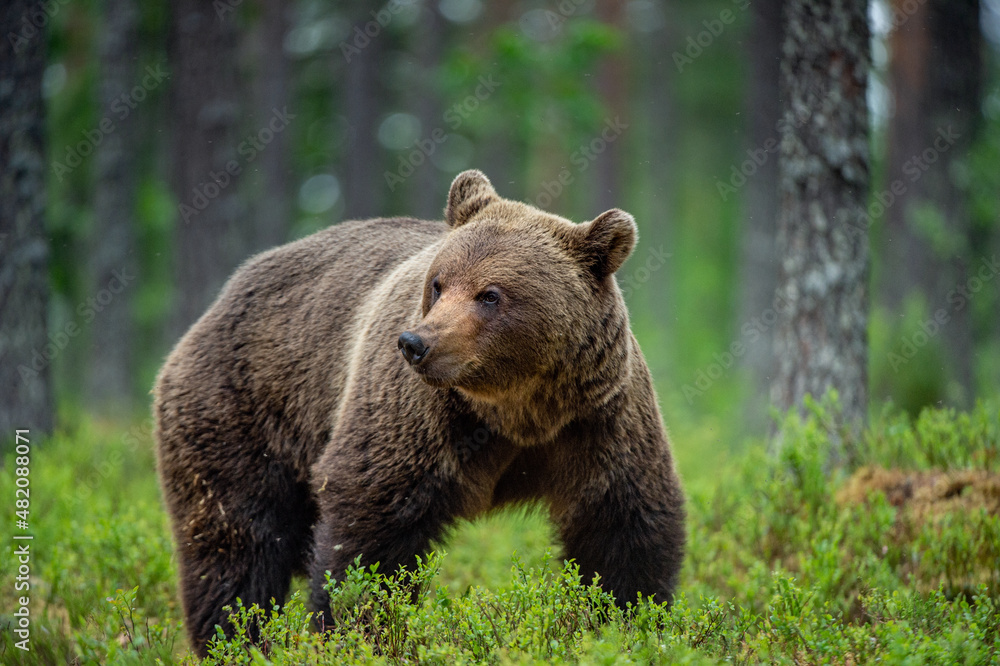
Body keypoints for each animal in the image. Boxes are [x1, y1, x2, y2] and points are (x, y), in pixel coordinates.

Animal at [154, 170, 688, 652]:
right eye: (438, 283)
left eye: (490, 294)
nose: (416, 343)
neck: (515, 411)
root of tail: (220, 301)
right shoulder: (416, 418)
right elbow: (372, 527)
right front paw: (360, 631)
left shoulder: (597, 420)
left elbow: (621, 529)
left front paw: (626, 624)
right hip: (244, 409)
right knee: (237, 544)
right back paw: (235, 640)